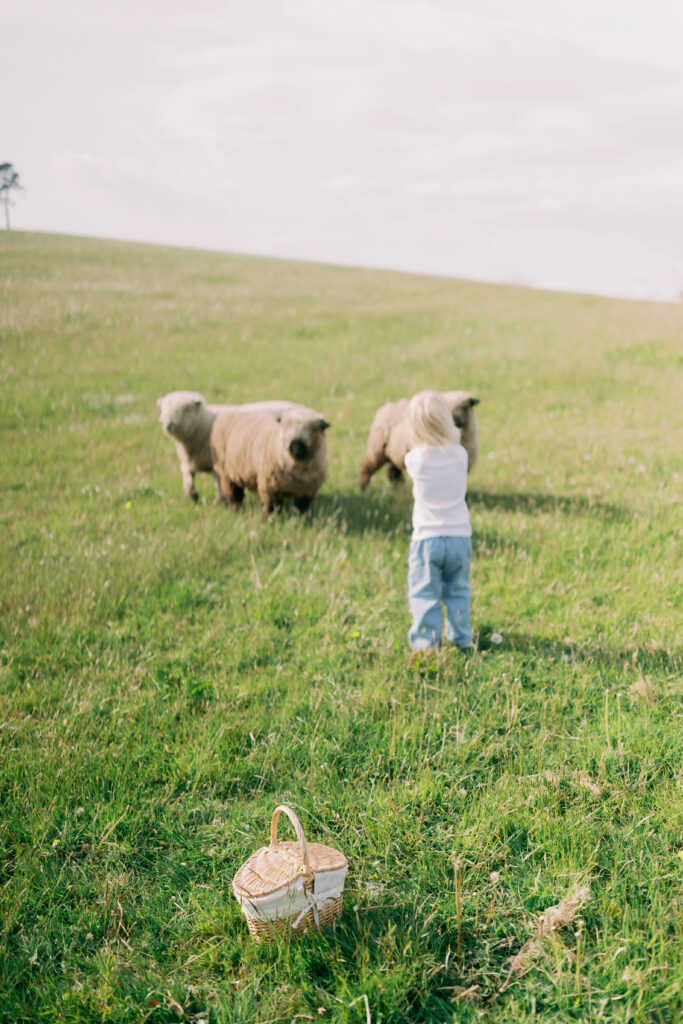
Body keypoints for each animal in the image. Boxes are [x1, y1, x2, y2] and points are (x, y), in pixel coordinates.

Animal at [157, 391, 304, 501]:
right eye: (163, 409)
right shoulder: (189, 463)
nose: (167, 424)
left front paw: (220, 501)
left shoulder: (217, 464)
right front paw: (193, 496)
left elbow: (219, 484)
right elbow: (188, 479)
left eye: (185, 409)